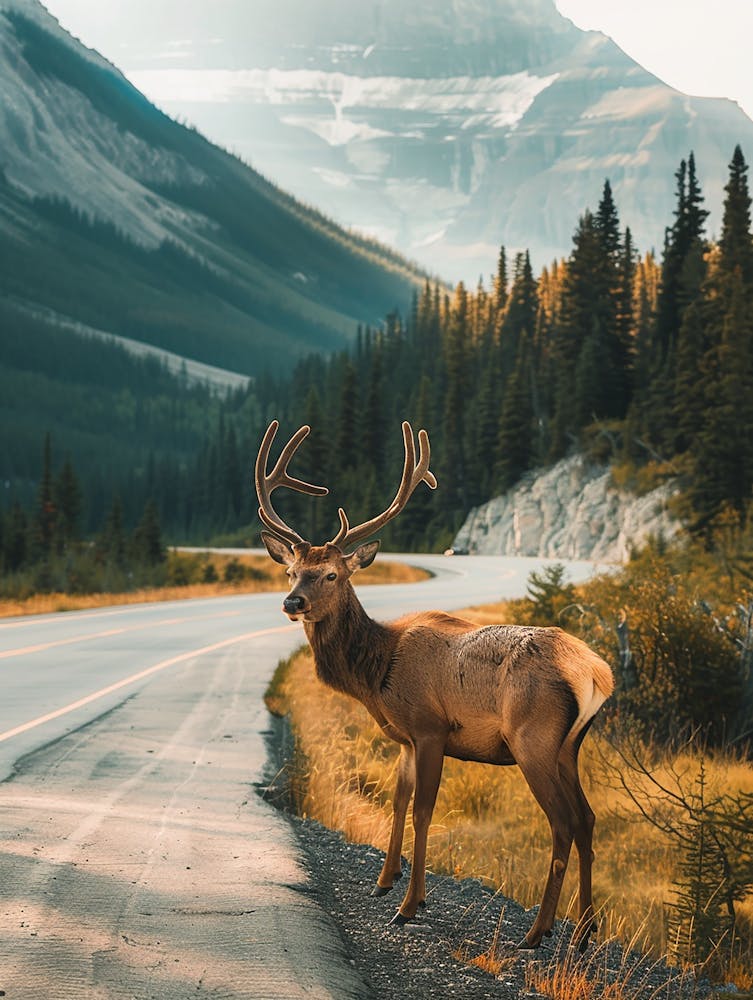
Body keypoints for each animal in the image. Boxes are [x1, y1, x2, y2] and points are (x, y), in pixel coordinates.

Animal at [255, 419, 614, 950]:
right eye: (290, 570)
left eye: (332, 574)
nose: (292, 602)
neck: (377, 671)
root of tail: (594, 672)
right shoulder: (404, 739)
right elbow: (398, 800)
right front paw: (384, 882)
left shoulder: (430, 729)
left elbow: (423, 810)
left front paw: (409, 905)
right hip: (570, 747)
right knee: (587, 819)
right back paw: (584, 930)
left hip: (534, 738)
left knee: (563, 822)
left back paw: (538, 931)